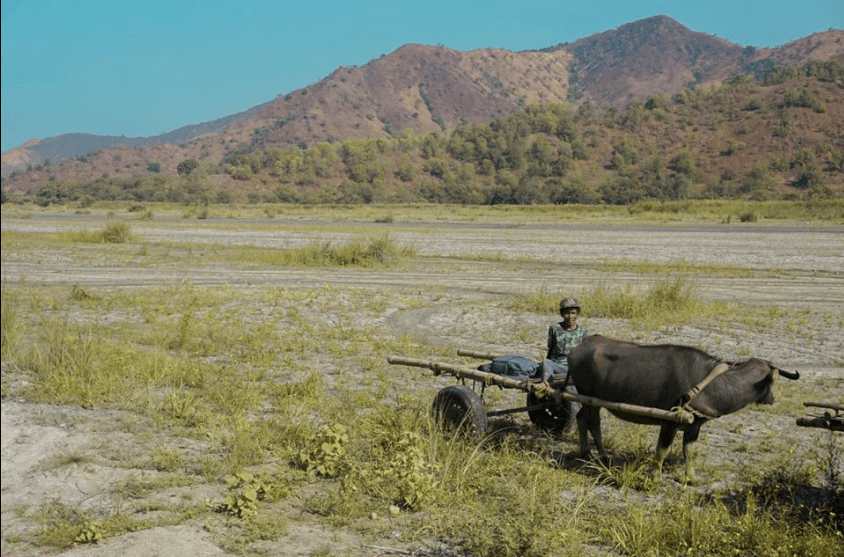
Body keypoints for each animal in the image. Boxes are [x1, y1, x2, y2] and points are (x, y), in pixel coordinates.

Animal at [568, 332, 796, 480]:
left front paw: (690, 478)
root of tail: (579, 346)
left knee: (581, 418)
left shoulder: (694, 425)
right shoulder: (668, 423)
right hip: (590, 399)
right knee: (594, 424)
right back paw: (602, 456)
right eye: (771, 382)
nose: (771, 398)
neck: (709, 384)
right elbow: (662, 450)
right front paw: (656, 478)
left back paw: (586, 453)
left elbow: (689, 452)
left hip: (587, 399)